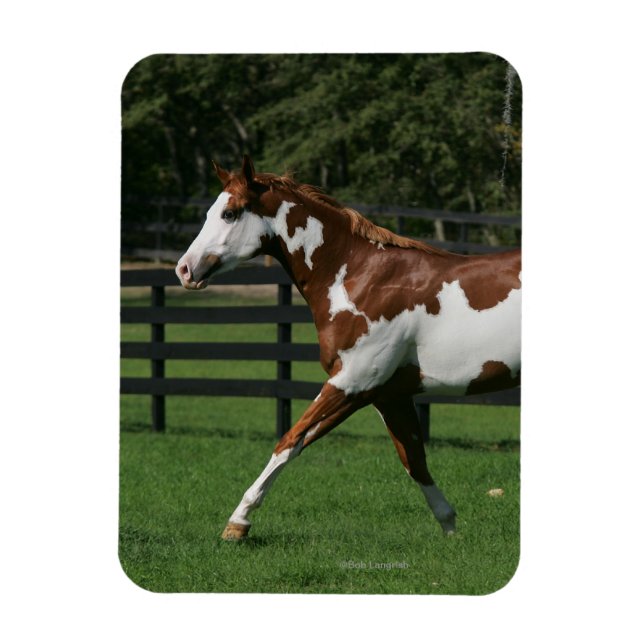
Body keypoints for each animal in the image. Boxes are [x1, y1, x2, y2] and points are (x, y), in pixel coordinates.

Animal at [176, 155, 521, 541]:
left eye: (230, 213)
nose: (184, 270)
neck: (361, 278)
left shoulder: (350, 383)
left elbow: (288, 441)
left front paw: (238, 522)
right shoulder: (386, 394)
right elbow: (414, 461)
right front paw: (450, 529)